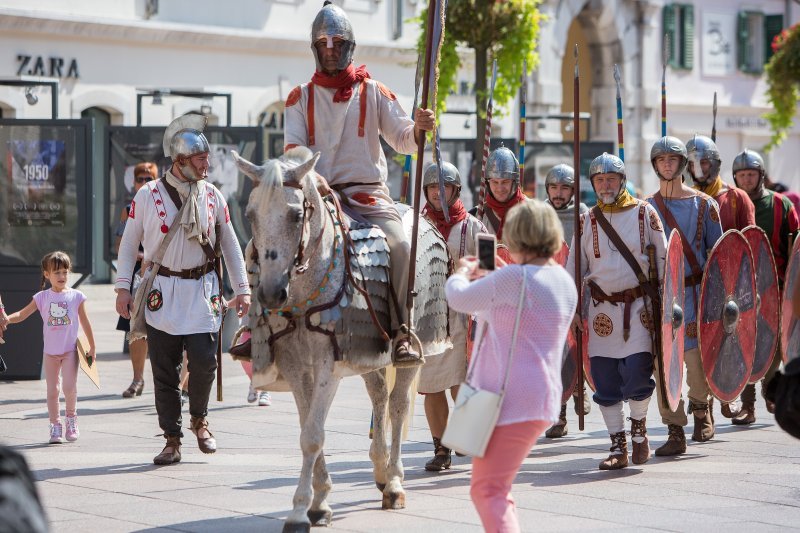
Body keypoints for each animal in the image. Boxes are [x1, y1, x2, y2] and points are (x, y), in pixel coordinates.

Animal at [231, 147, 450, 532]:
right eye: (250, 215)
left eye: (295, 215)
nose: (271, 293)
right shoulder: (295, 365)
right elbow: (308, 427)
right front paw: (319, 502)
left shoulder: (327, 366)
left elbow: (312, 436)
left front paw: (301, 510)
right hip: (369, 354)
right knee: (379, 397)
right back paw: (380, 471)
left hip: (412, 349)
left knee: (397, 405)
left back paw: (394, 482)